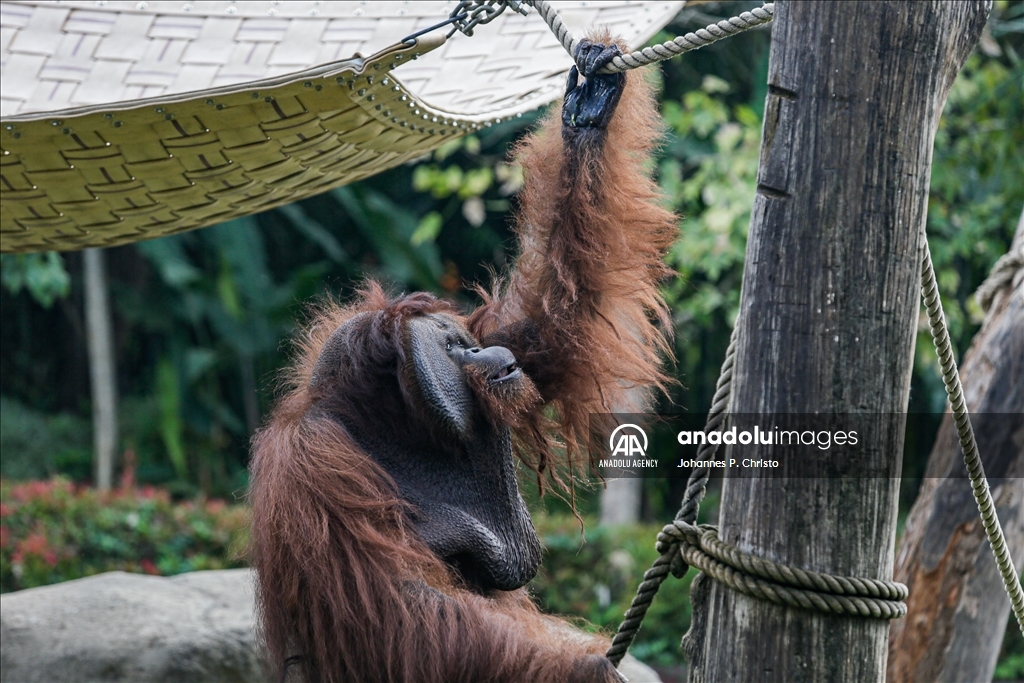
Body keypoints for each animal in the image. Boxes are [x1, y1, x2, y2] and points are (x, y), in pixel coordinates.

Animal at [248, 36, 677, 683]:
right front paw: (586, 669)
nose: (476, 348)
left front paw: (588, 107)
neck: (394, 425)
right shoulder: (313, 465)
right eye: (451, 348)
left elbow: (553, 326)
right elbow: (403, 605)